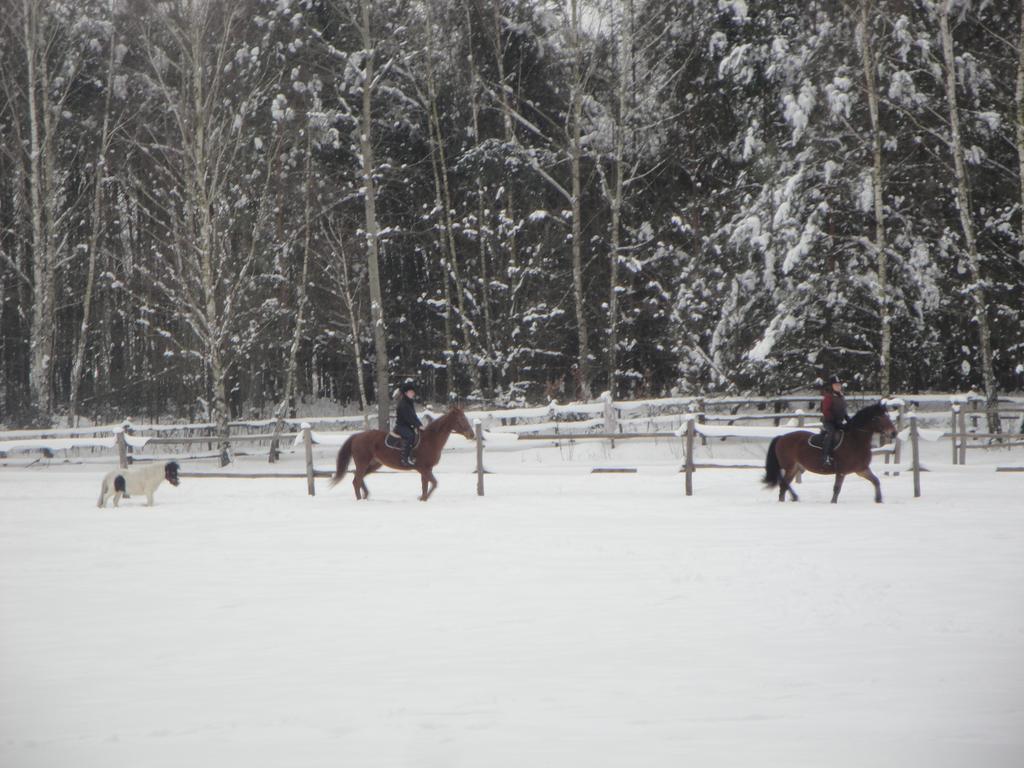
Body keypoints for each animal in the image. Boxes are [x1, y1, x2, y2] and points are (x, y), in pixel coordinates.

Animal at [325, 405, 473, 501]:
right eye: (461, 419)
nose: (471, 434)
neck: (430, 440)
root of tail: (357, 436)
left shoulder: (427, 469)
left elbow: (425, 485)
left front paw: (422, 498)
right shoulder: (423, 468)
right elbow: (434, 483)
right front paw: (424, 498)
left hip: (374, 464)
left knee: (360, 479)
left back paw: (366, 496)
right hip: (362, 462)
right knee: (356, 481)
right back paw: (360, 499)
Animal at [761, 403, 897, 505]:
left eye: (887, 416)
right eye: (877, 418)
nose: (894, 433)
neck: (854, 441)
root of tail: (781, 437)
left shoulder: (861, 469)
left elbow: (876, 481)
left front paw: (879, 500)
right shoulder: (841, 471)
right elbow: (837, 489)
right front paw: (833, 503)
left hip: (795, 468)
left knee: (784, 486)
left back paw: (791, 498)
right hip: (790, 467)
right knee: (783, 484)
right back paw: (790, 499)